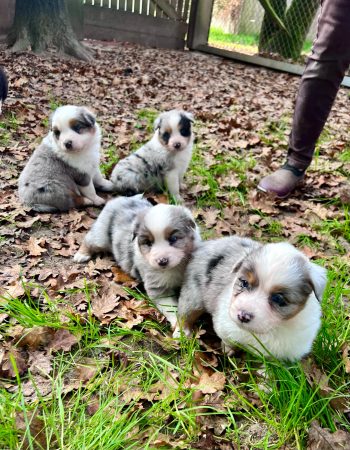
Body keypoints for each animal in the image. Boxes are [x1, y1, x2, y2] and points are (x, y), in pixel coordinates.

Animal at [74, 195, 200, 326]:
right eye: (148, 243)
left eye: (174, 238)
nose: (162, 261)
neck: (175, 267)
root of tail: (122, 198)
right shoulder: (158, 288)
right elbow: (171, 308)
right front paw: (179, 328)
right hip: (101, 236)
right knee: (89, 240)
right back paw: (81, 254)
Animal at [174, 236, 326, 362]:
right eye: (244, 283)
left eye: (278, 298)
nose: (243, 316)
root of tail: (205, 244)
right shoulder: (224, 324)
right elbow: (228, 339)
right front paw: (228, 350)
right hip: (193, 295)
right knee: (185, 314)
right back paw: (181, 333)